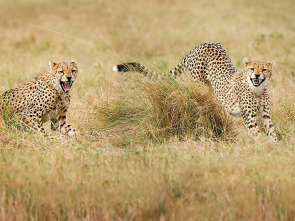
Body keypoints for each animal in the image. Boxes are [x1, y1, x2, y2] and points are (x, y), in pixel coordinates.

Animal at [112, 41, 278, 142]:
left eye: (264, 69)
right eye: (252, 69)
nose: (257, 76)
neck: (257, 89)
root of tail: (203, 44)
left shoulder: (264, 114)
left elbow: (271, 131)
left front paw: (275, 148)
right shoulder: (249, 116)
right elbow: (257, 133)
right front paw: (264, 149)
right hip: (198, 85)